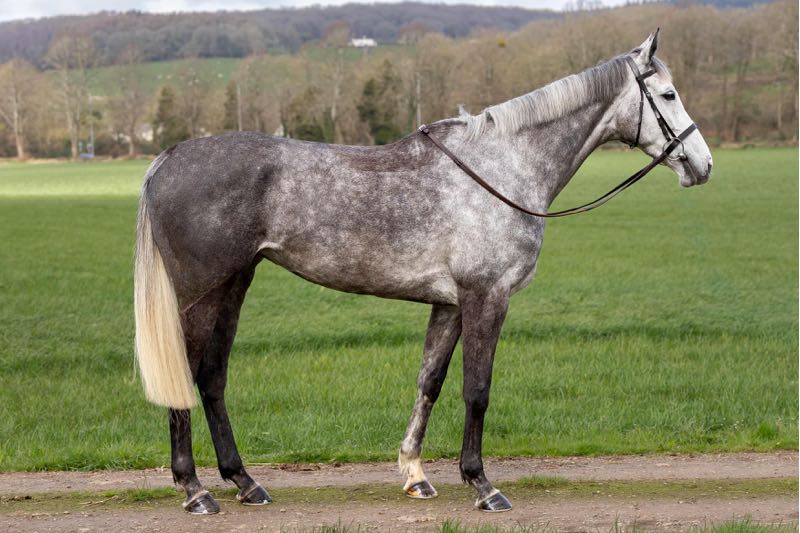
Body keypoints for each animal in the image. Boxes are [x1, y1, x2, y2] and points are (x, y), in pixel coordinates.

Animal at [133, 31, 712, 515]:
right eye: (667, 96)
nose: (702, 164)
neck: (502, 167)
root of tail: (169, 157)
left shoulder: (450, 304)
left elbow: (429, 381)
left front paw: (414, 474)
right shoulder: (486, 297)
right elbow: (477, 388)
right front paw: (482, 484)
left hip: (234, 285)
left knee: (212, 377)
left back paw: (245, 481)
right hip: (199, 295)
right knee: (188, 374)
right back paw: (195, 490)